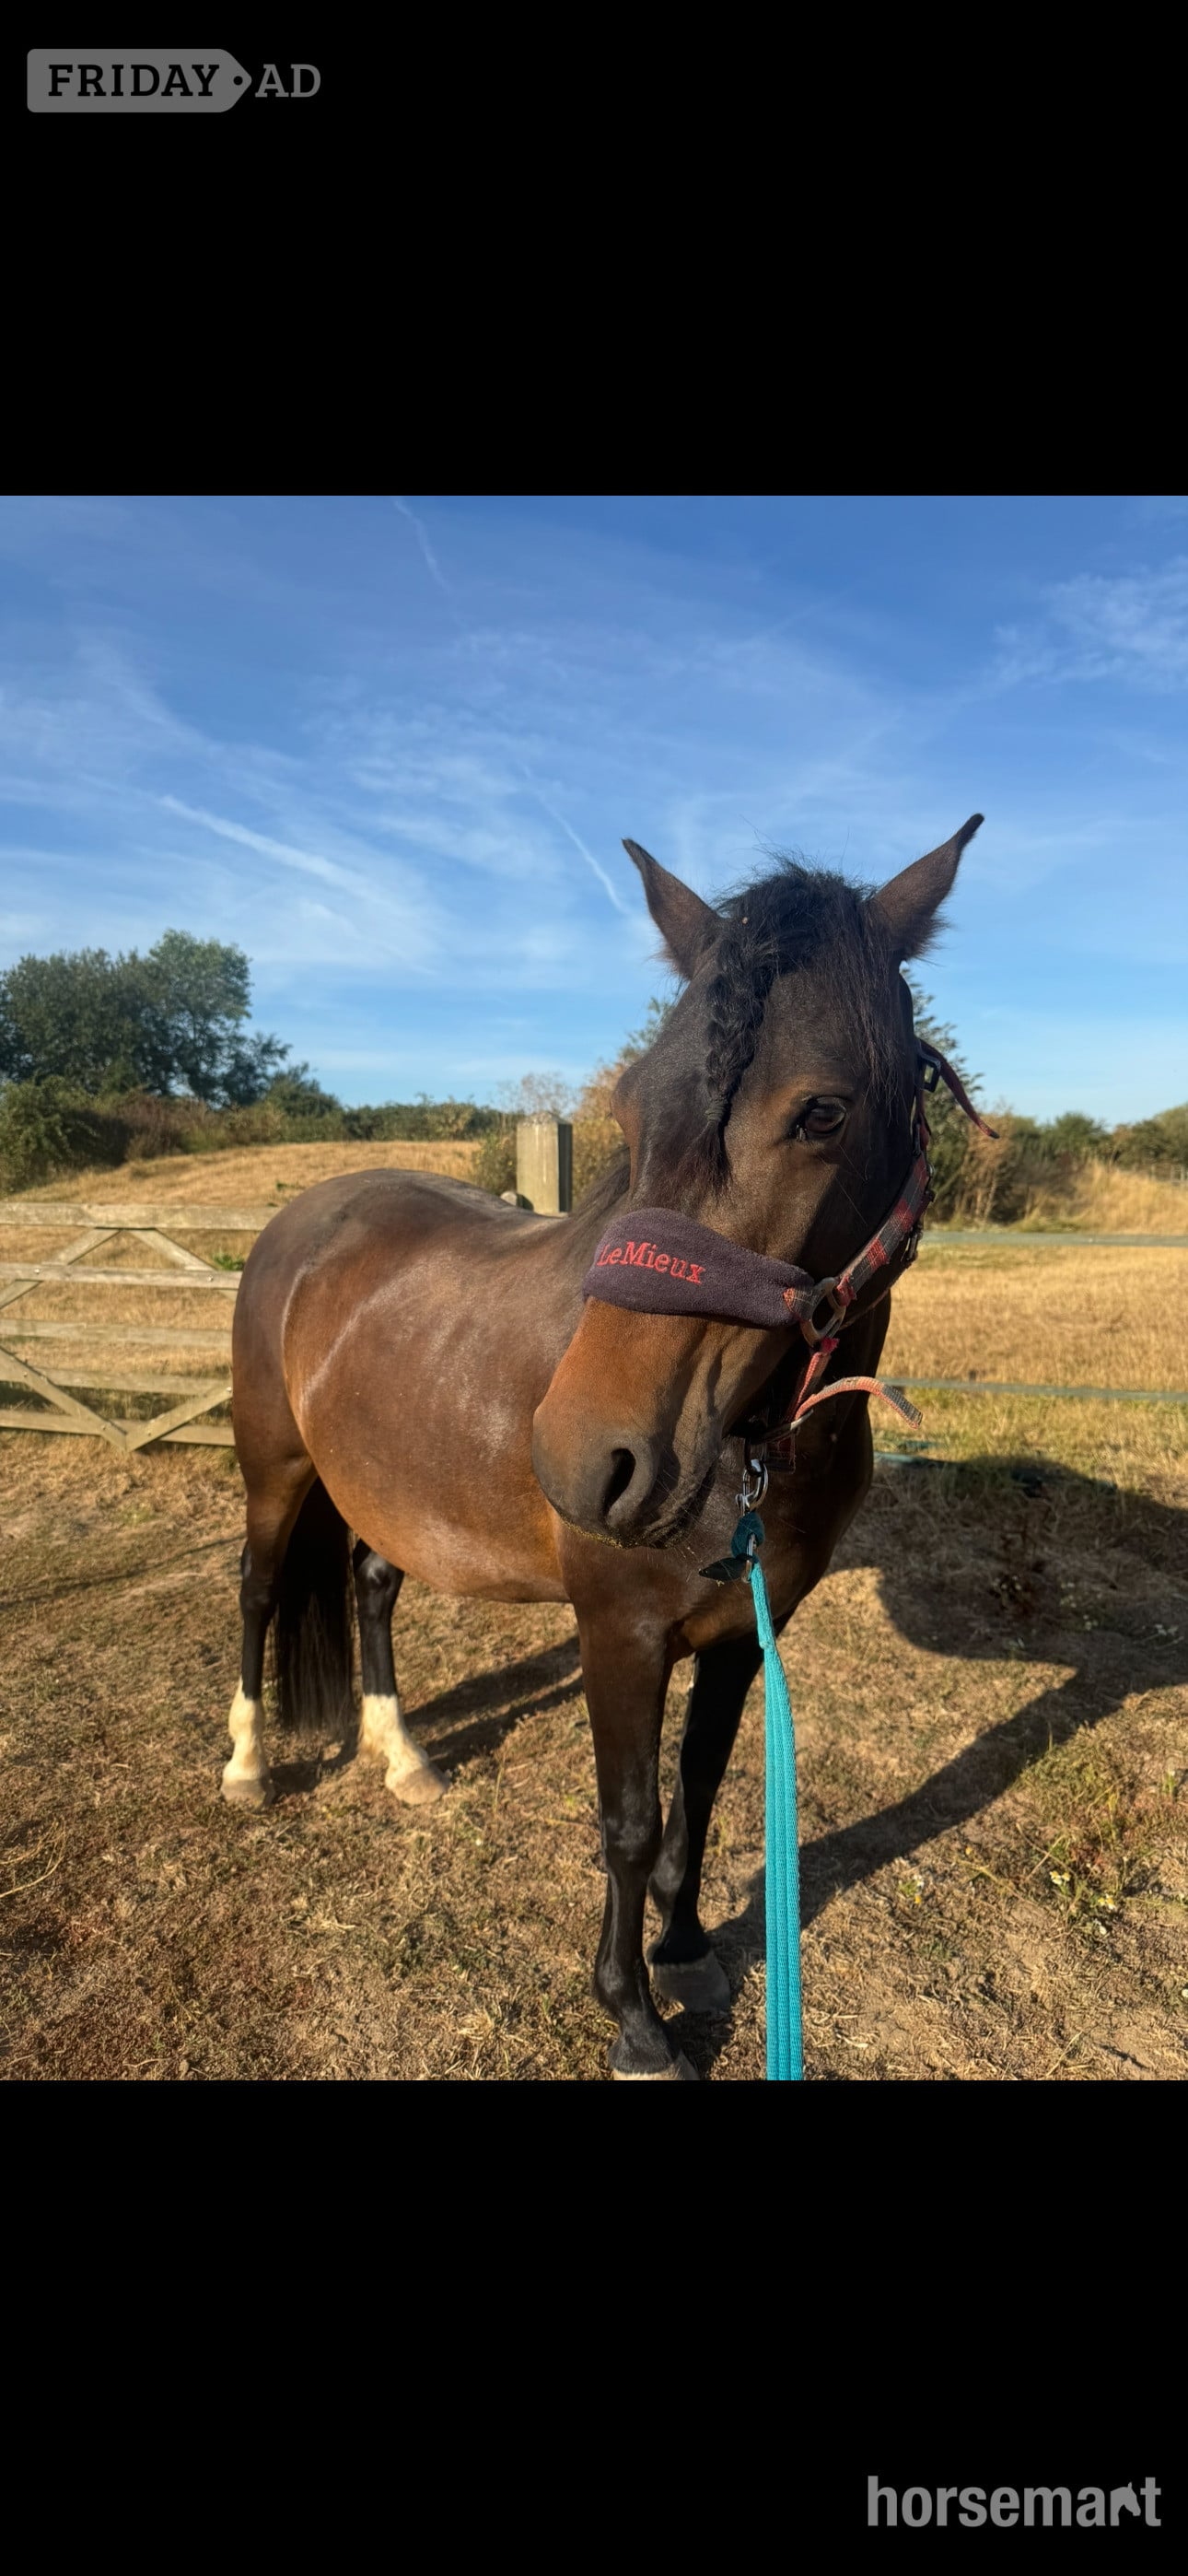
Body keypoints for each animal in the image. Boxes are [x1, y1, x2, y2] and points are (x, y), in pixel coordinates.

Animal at [225, 814, 983, 2079]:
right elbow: (629, 1821)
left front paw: (685, 1950)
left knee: (371, 1584)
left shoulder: (744, 1632)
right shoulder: (619, 1638)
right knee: (257, 1587)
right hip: (277, 1473)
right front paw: (633, 2015)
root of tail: (306, 1214)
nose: (590, 1464)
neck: (749, 1459)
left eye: (822, 1112)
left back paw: (404, 1759)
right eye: (630, 1109)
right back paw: (243, 1765)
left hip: (387, 1491)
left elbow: (703, 1786)